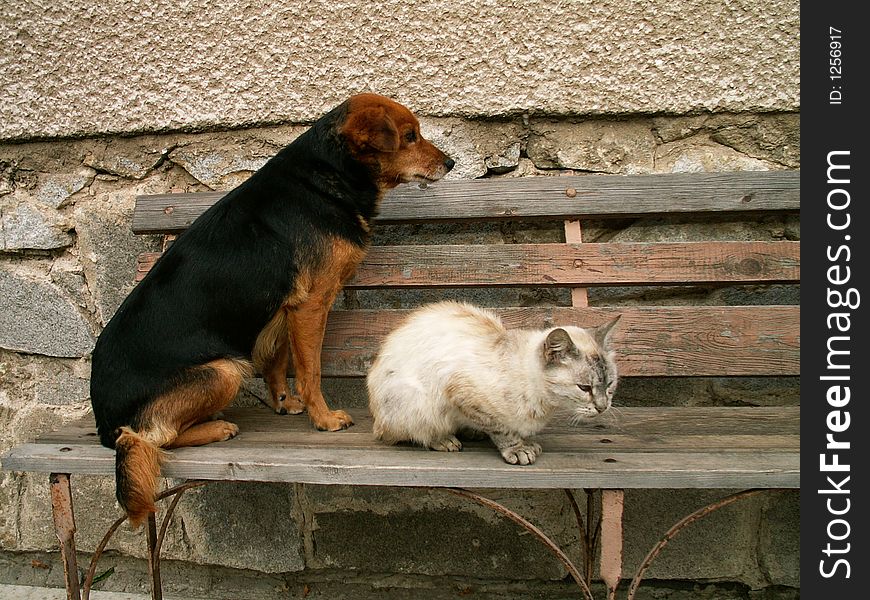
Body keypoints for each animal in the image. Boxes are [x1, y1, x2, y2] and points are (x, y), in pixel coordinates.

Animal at [91, 92, 454, 524]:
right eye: (410, 136)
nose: (451, 163)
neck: (327, 174)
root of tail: (104, 422)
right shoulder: (311, 304)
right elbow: (310, 370)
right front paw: (324, 419)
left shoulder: (284, 310)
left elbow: (278, 364)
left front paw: (285, 404)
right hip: (224, 370)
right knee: (151, 437)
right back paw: (216, 429)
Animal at [366, 302, 620, 466]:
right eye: (584, 388)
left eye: (609, 385)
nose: (602, 407)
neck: (545, 404)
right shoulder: (463, 394)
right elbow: (501, 429)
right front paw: (518, 449)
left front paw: (526, 442)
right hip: (415, 401)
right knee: (410, 433)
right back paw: (445, 440)